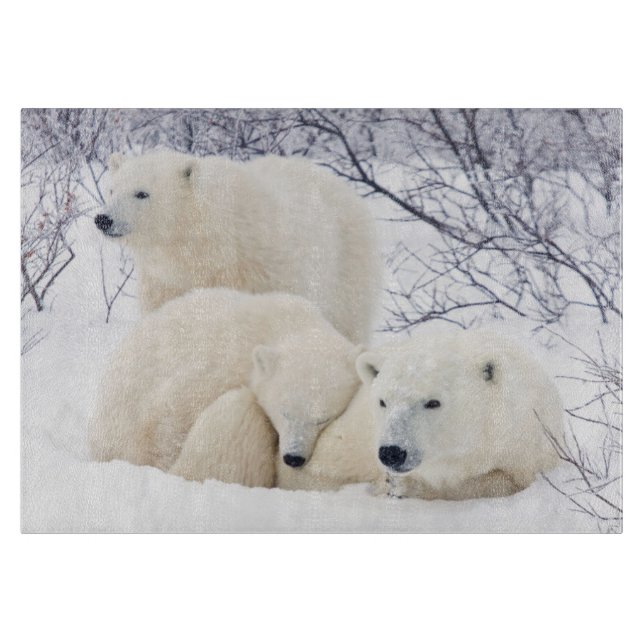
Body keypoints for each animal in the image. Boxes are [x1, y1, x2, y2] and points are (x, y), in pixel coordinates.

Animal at [95, 150, 381, 344]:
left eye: (142, 193)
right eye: (112, 190)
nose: (103, 219)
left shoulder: (258, 271)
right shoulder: (166, 281)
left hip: (347, 261)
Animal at [275, 329, 564, 500]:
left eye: (432, 402)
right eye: (383, 401)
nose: (392, 452)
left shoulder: (527, 442)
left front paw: (401, 487)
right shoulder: (358, 437)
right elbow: (317, 473)